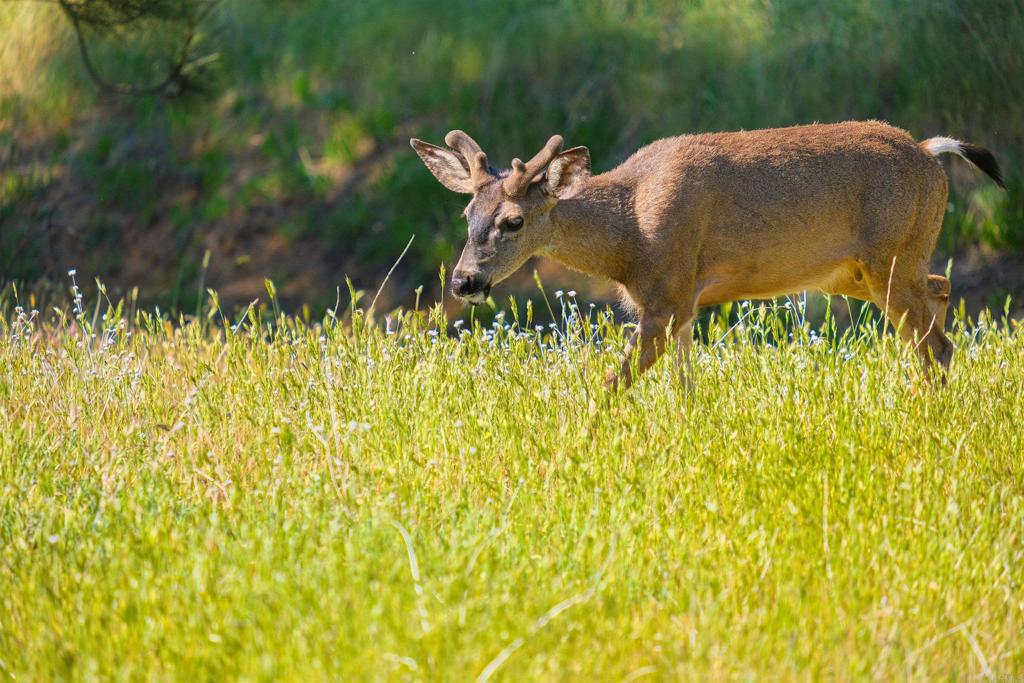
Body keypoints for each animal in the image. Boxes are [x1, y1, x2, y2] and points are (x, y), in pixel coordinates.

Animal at [410, 121, 1005, 390]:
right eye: (467, 216)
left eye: (513, 221)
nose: (463, 282)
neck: (629, 234)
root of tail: (930, 152)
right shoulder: (683, 304)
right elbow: (685, 384)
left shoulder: (667, 292)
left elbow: (615, 382)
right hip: (864, 271)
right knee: (939, 295)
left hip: (890, 258)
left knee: (938, 343)